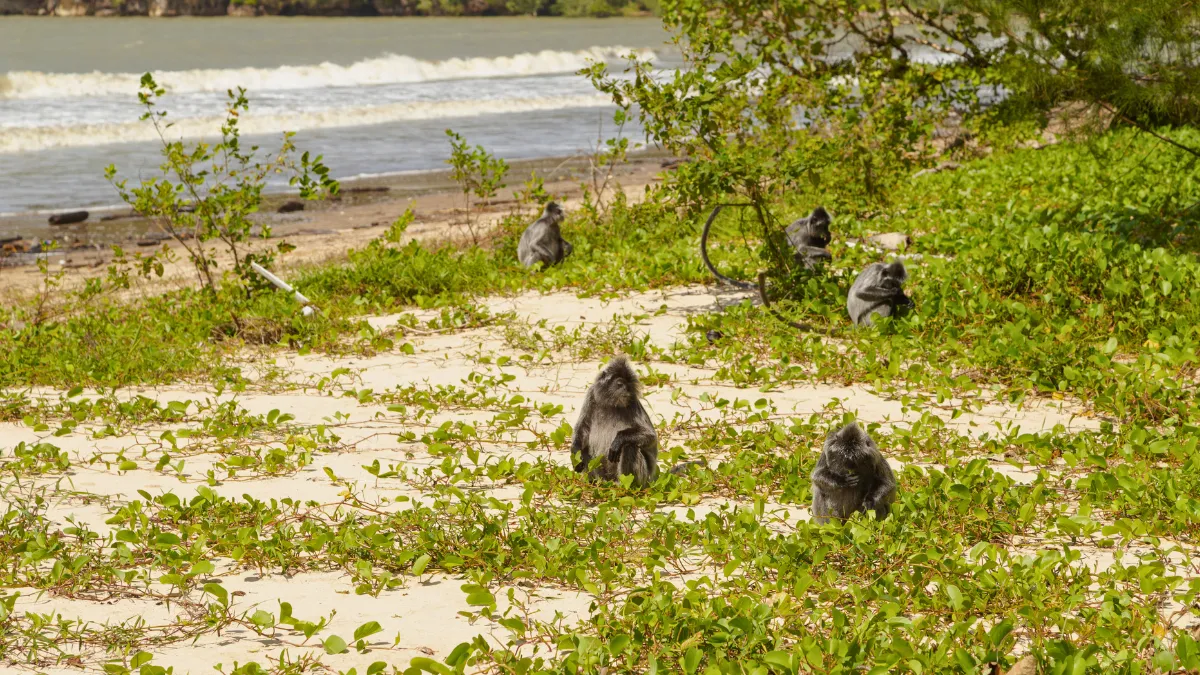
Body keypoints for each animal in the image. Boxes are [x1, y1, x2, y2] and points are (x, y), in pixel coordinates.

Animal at [571, 355, 660, 487]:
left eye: (628, 385)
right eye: (620, 384)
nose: (626, 390)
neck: (612, 403)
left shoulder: (632, 401)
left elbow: (651, 436)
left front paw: (618, 440)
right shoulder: (592, 395)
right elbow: (583, 427)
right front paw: (574, 453)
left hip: (643, 478)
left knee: (629, 447)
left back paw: (625, 486)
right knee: (585, 449)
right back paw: (596, 483)